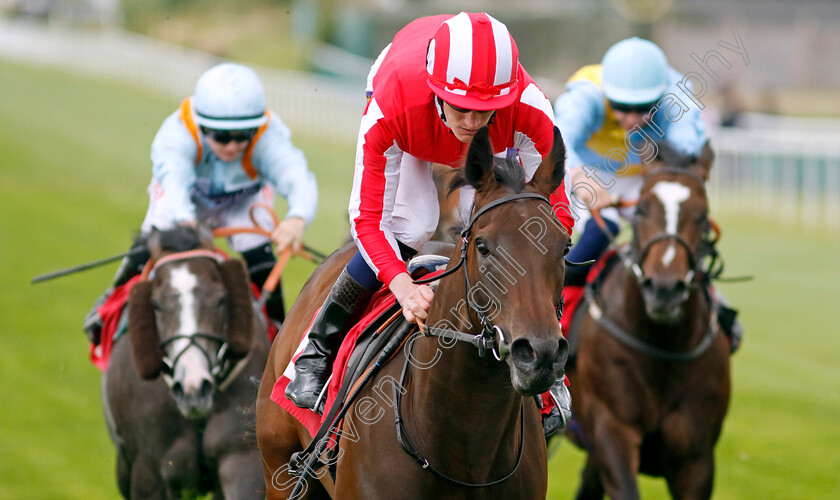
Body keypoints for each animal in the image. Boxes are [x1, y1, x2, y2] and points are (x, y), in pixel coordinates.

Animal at [564, 154, 728, 498]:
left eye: (703, 217)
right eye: (640, 210)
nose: (664, 289)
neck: (661, 347)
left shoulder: (697, 459)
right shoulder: (613, 429)